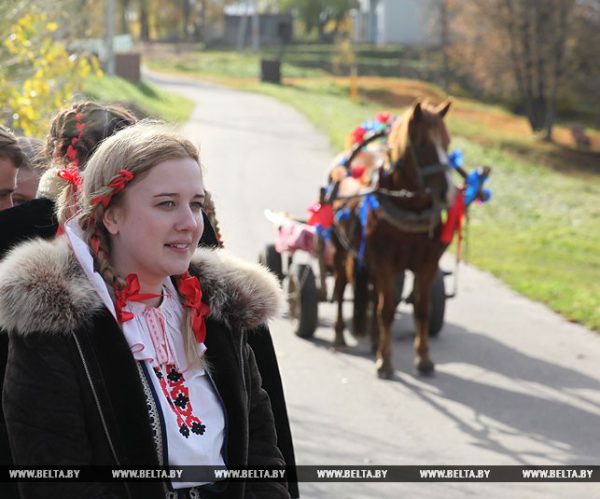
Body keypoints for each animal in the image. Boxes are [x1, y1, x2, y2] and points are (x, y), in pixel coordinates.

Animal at [328, 101, 454, 378]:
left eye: (447, 142)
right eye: (423, 144)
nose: (448, 192)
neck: (409, 208)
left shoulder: (427, 264)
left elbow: (421, 309)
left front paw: (424, 358)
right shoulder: (384, 262)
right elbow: (386, 310)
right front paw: (385, 361)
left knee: (375, 297)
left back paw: (375, 340)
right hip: (342, 251)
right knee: (341, 290)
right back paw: (340, 335)